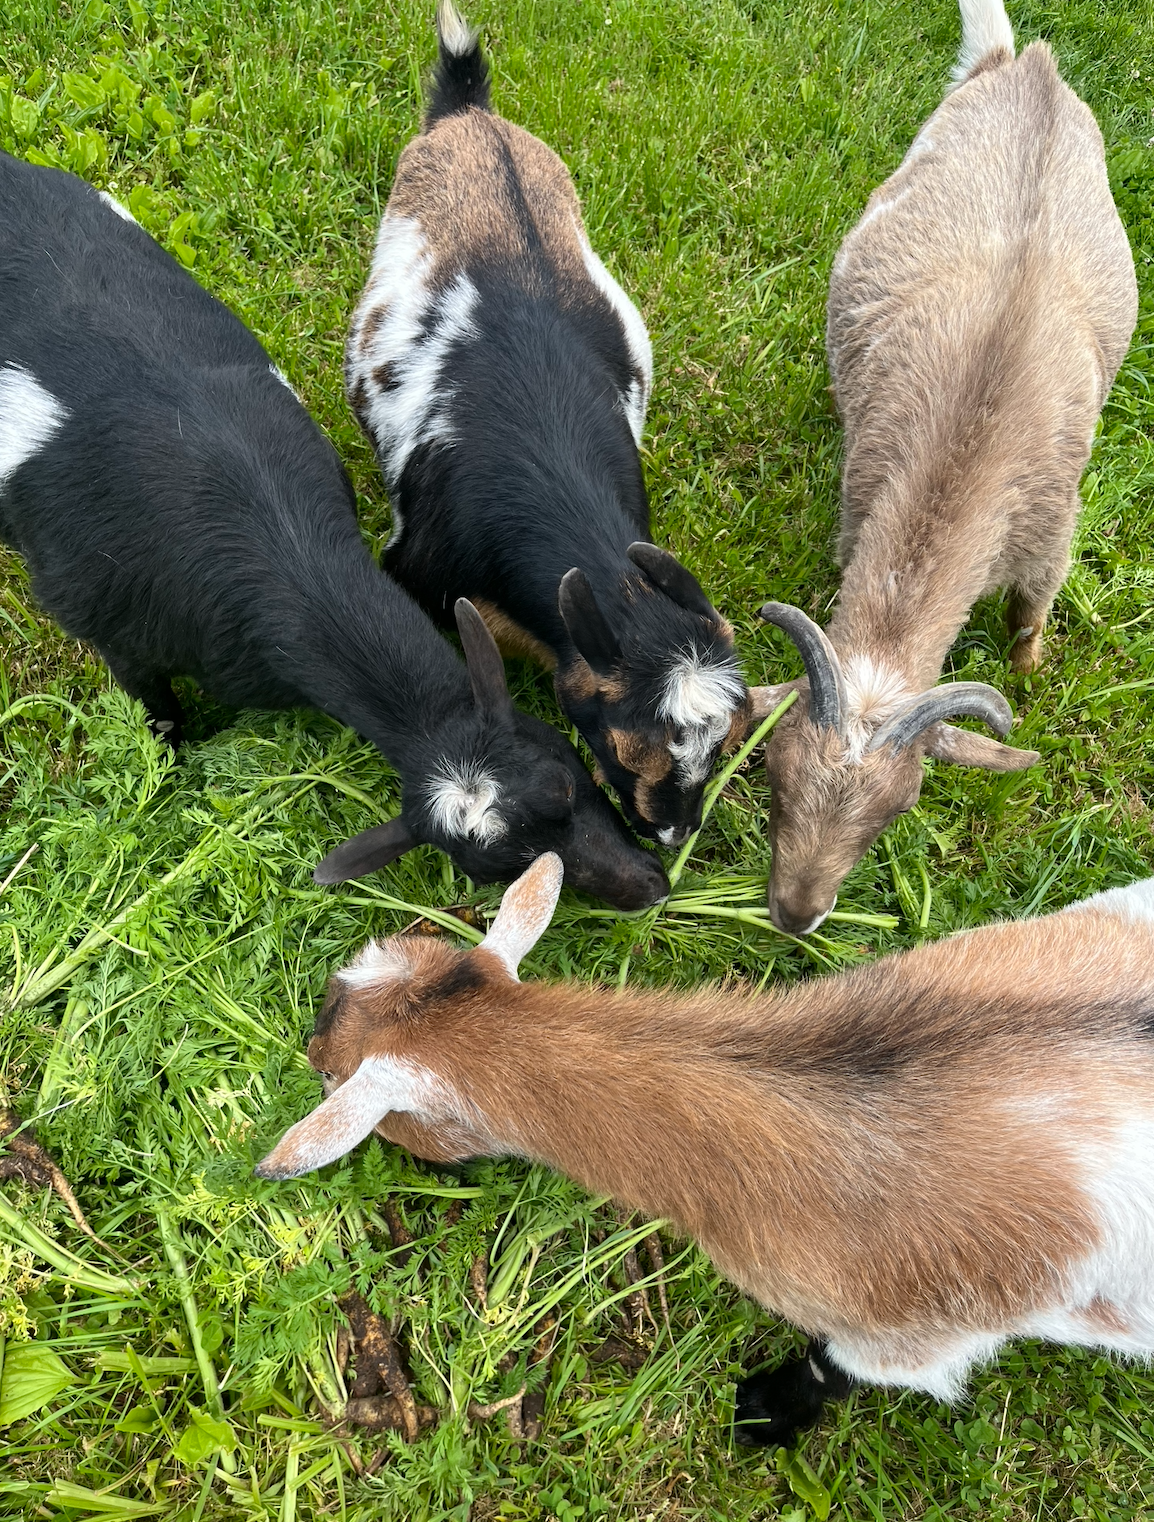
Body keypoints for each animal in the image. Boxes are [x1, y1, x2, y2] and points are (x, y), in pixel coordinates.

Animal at [0, 149, 668, 910]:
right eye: (496, 871)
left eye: (566, 780)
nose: (651, 885)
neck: (274, 539)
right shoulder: (116, 635)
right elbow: (156, 715)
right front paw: (162, 771)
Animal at [751, 0, 1138, 935]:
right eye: (774, 775)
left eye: (900, 807)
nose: (795, 913)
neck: (974, 439)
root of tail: (1023, 64)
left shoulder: (1050, 532)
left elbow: (1032, 616)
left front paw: (1031, 672)